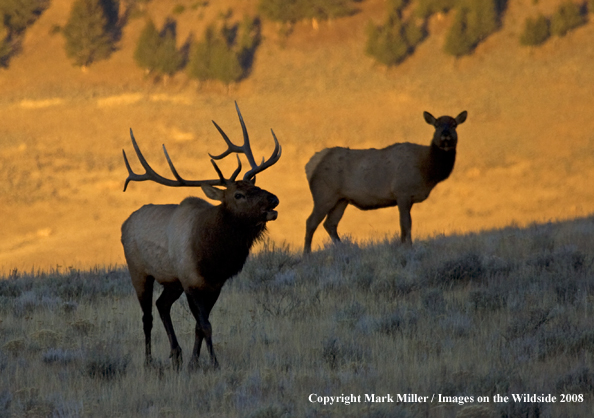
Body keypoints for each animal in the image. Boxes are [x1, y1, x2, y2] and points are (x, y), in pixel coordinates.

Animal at [121, 103, 282, 370]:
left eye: (255, 186)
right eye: (238, 194)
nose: (273, 199)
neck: (213, 256)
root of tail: (125, 223)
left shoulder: (214, 285)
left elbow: (199, 326)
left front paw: (194, 362)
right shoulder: (191, 282)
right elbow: (205, 325)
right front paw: (214, 364)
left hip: (171, 281)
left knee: (162, 305)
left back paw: (176, 354)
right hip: (139, 272)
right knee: (147, 316)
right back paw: (149, 361)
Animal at [302, 109, 464, 253]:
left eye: (454, 124)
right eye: (436, 125)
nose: (445, 135)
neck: (427, 171)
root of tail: (310, 165)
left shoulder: (408, 197)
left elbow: (406, 224)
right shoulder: (402, 192)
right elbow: (405, 223)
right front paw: (407, 247)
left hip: (341, 199)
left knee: (330, 224)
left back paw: (346, 248)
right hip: (324, 195)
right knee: (311, 222)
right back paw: (307, 254)